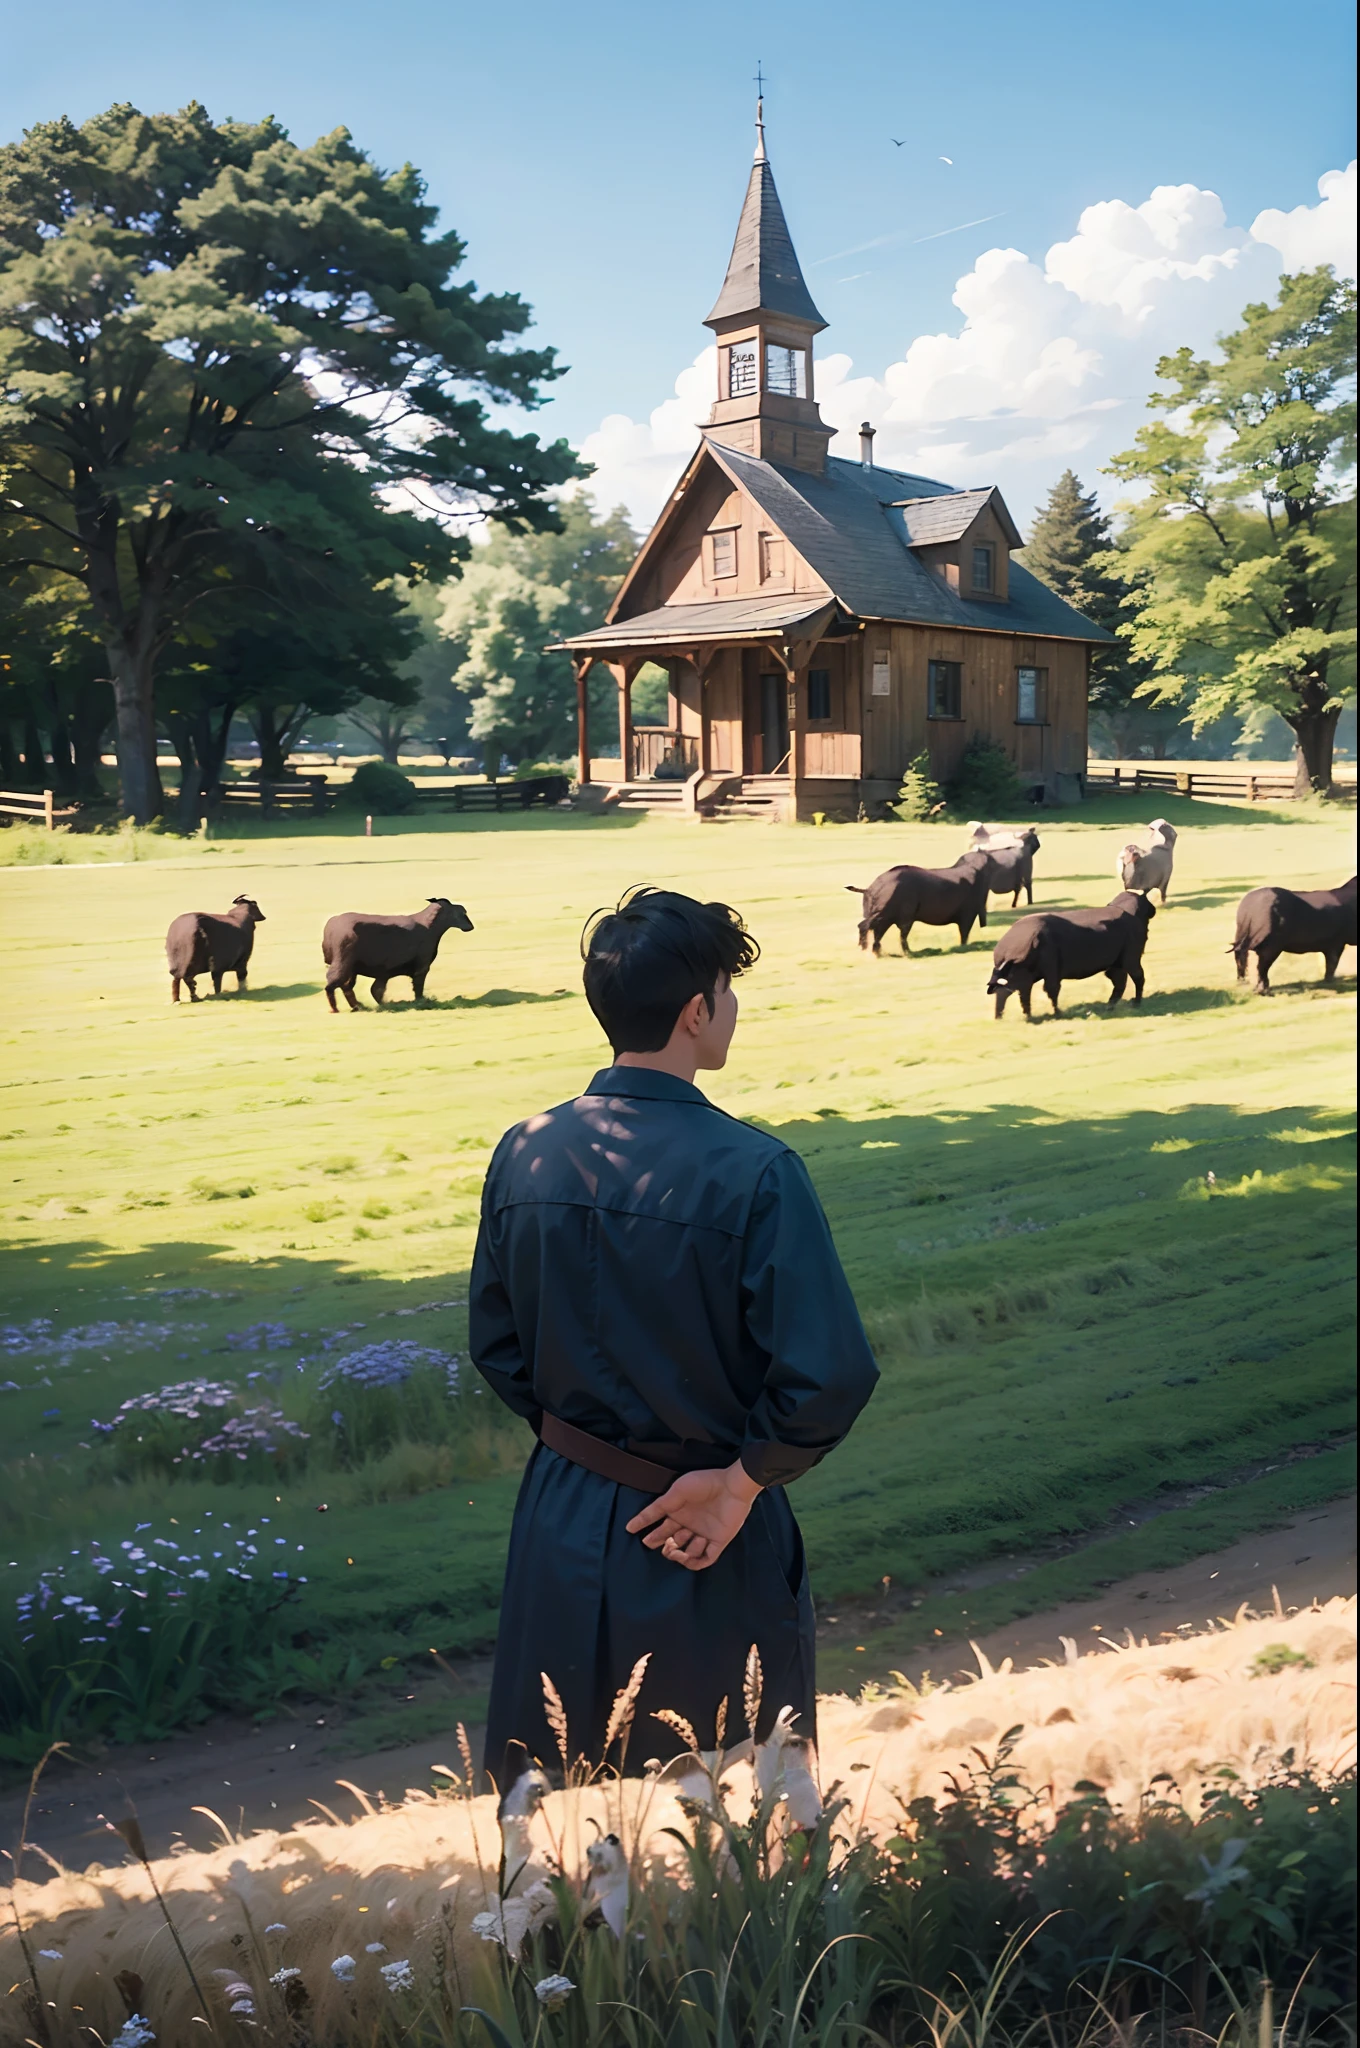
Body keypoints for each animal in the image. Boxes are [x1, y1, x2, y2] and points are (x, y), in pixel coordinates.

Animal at [325, 905, 477, 1015]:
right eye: (462, 914)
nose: (470, 926)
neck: (430, 928)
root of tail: (330, 925)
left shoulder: (384, 973)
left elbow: (376, 990)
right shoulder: (422, 966)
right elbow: (418, 987)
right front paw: (421, 1002)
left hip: (351, 969)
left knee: (346, 986)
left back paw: (358, 1006)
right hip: (343, 963)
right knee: (332, 984)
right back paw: (335, 1009)